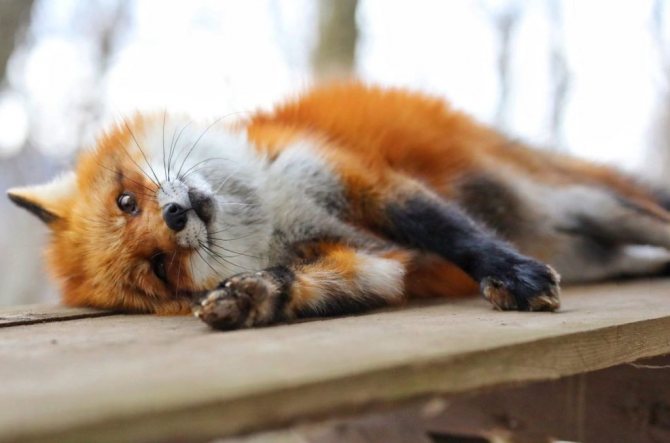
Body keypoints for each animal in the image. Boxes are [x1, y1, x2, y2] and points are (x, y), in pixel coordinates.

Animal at [8, 82, 670, 330]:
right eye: (159, 268)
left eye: (126, 201)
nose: (176, 218)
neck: (274, 212)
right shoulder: (366, 258)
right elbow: (311, 283)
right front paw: (247, 299)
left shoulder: (357, 181)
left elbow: (455, 235)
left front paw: (512, 272)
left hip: (590, 203)